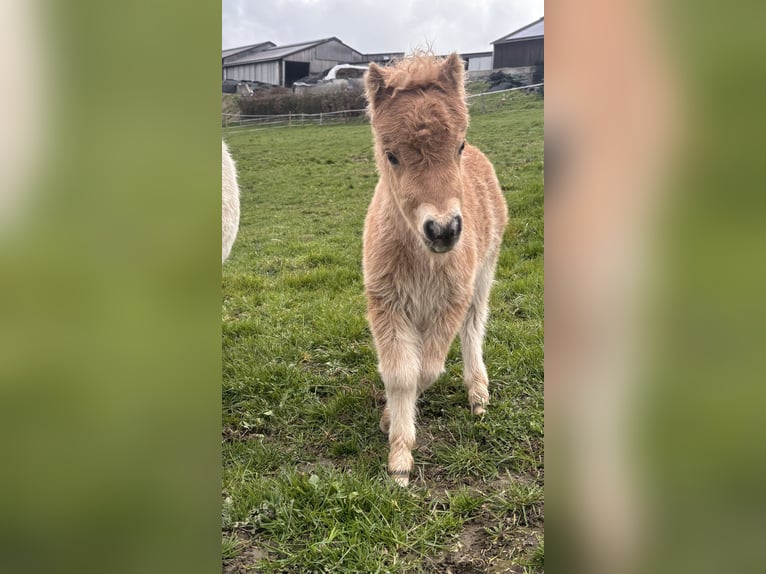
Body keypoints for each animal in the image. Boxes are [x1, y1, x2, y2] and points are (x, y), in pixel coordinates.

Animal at [362, 53, 508, 486]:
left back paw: (478, 395)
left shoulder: (452, 299)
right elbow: (400, 374)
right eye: (391, 154)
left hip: (483, 273)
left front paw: (392, 426)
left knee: (474, 326)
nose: (443, 229)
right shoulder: (386, 304)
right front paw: (398, 457)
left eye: (457, 145)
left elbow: (426, 369)